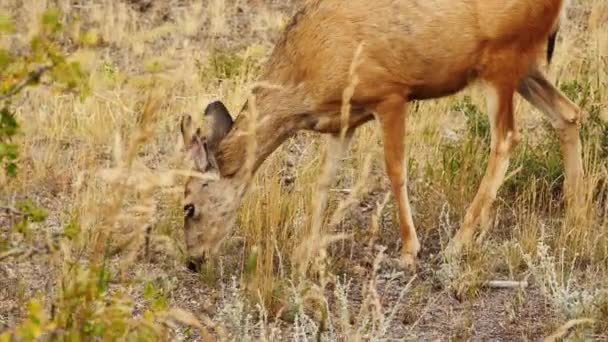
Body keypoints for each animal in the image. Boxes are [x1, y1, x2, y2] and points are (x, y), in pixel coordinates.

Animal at [178, 0, 580, 272]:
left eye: (189, 206)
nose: (192, 261)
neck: (307, 73)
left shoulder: (390, 94)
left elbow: (395, 171)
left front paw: (408, 250)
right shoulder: (342, 121)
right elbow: (322, 181)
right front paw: (305, 251)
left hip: (501, 59)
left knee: (507, 138)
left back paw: (457, 243)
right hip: (523, 64)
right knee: (569, 113)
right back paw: (575, 208)